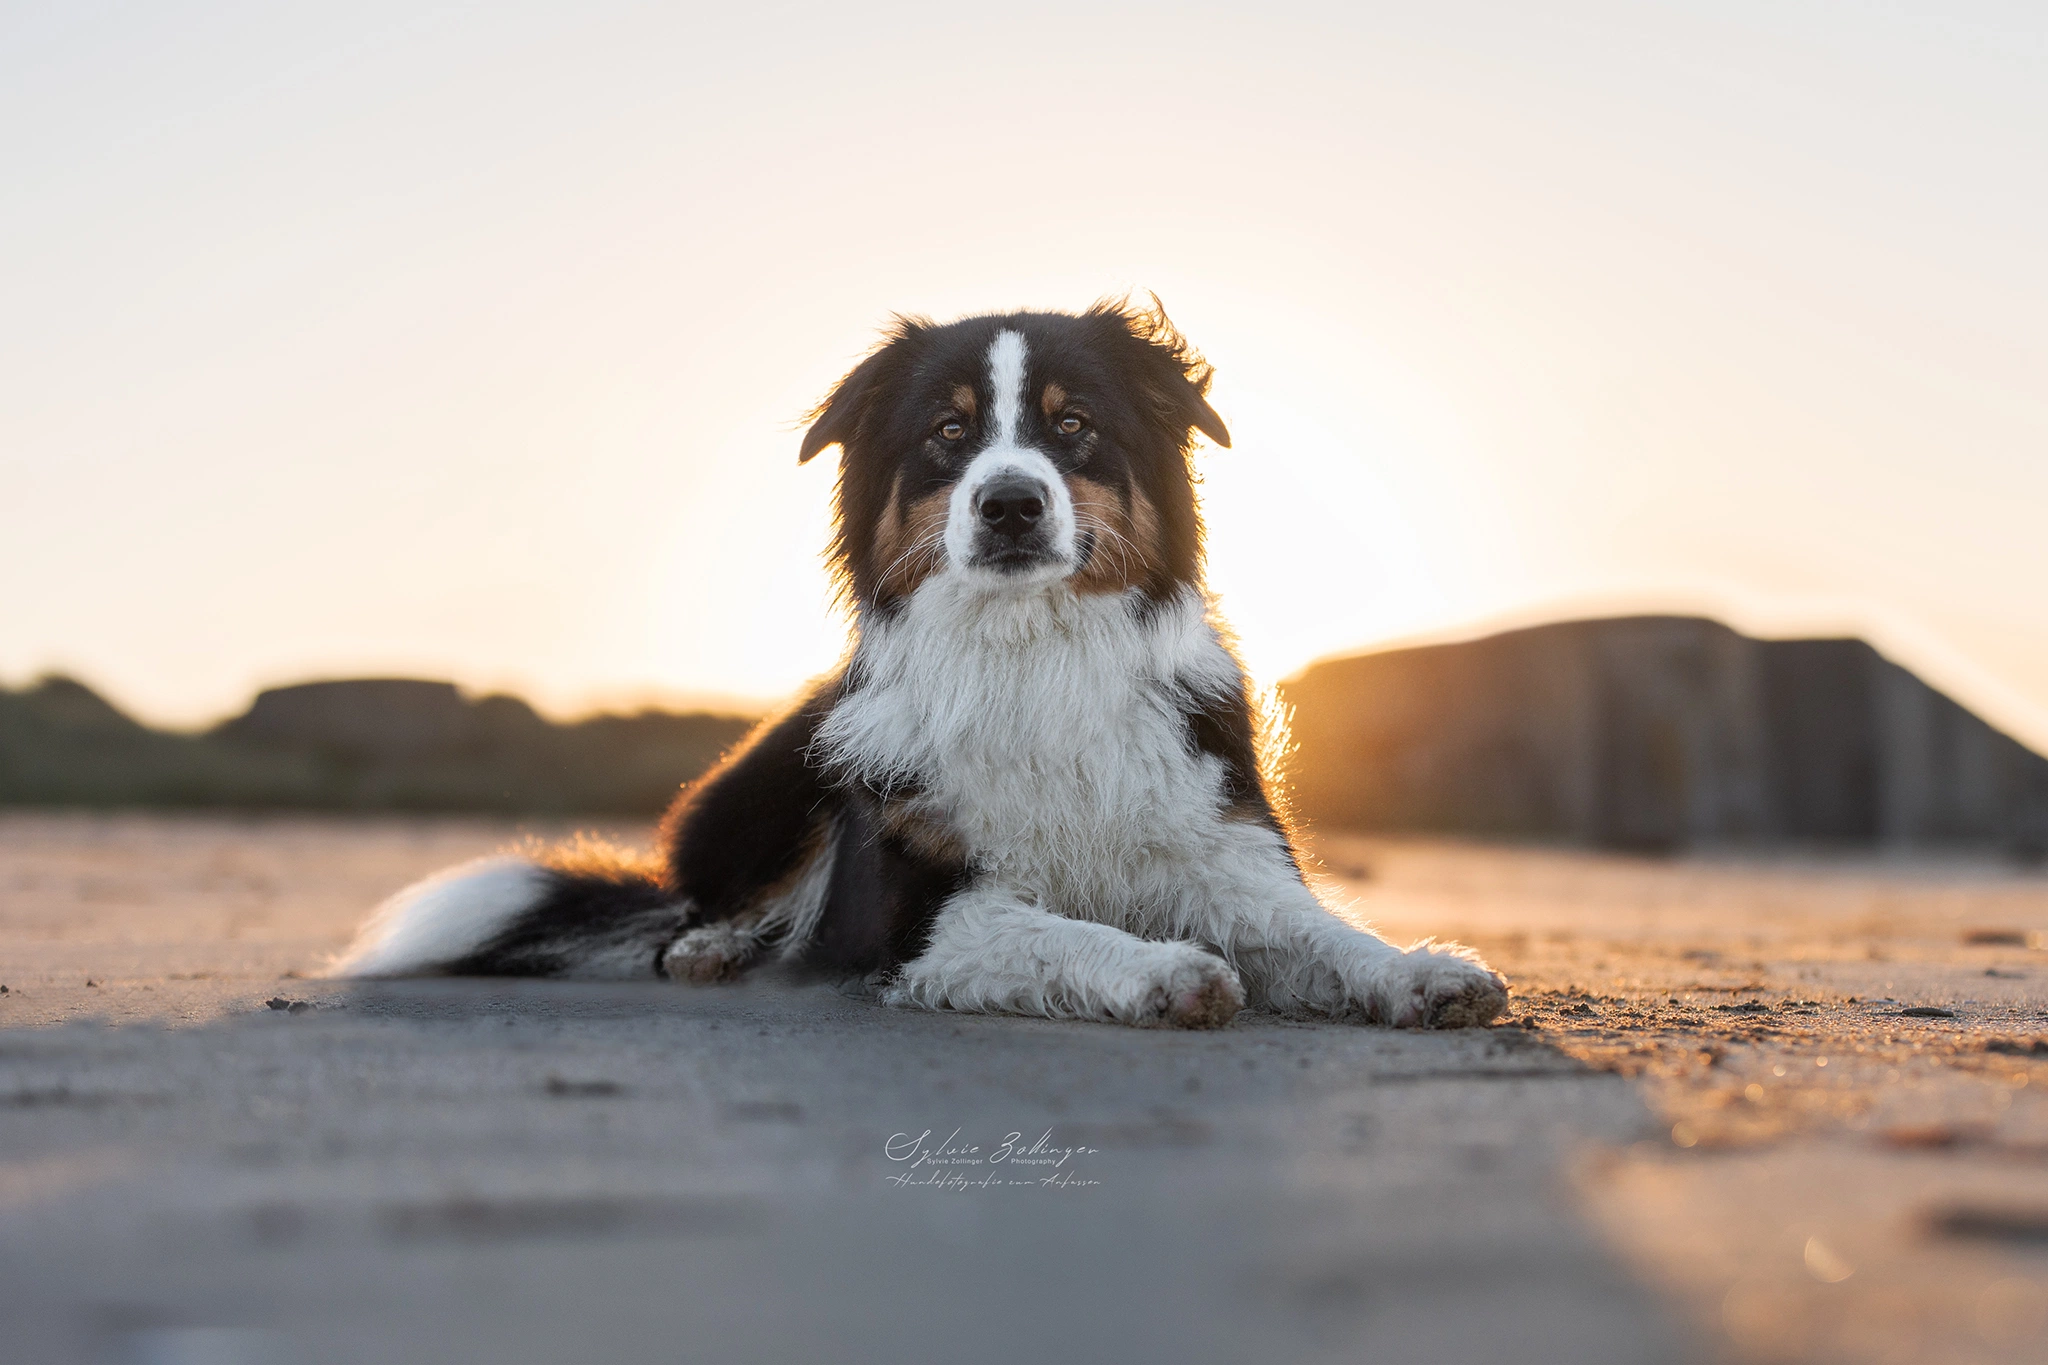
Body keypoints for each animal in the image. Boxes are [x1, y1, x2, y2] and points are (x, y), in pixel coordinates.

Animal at [327, 298, 1515, 1023]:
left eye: (1072, 426)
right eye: (948, 434)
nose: (1010, 502)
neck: (1032, 648)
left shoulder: (1222, 851)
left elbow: (1322, 933)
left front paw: (1420, 972)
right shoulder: (913, 915)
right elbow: (1054, 929)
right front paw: (1163, 967)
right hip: (773, 775)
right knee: (695, 913)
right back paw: (715, 949)